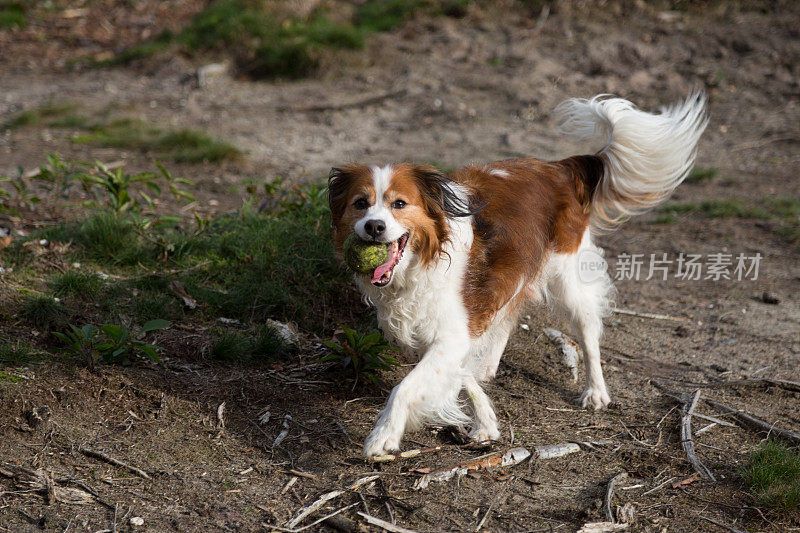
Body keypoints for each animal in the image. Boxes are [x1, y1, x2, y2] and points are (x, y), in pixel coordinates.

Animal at [328, 91, 708, 458]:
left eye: (399, 204)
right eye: (360, 203)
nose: (373, 227)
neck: (423, 260)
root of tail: (559, 167)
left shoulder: (451, 334)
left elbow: (405, 388)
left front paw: (383, 436)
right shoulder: (449, 331)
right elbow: (462, 373)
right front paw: (485, 421)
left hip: (568, 278)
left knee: (588, 331)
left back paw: (596, 391)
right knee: (507, 318)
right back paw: (489, 367)